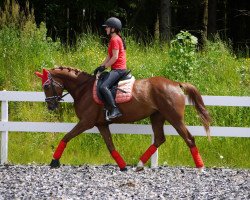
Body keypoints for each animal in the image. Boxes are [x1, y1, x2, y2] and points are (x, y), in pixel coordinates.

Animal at [35, 66, 211, 171]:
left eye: (46, 86)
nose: (51, 106)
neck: (83, 89)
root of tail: (176, 84)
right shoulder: (101, 124)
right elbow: (110, 146)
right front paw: (123, 166)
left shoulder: (86, 122)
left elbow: (66, 137)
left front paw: (54, 161)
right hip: (157, 117)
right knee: (159, 139)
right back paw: (139, 164)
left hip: (174, 118)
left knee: (189, 138)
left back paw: (200, 167)